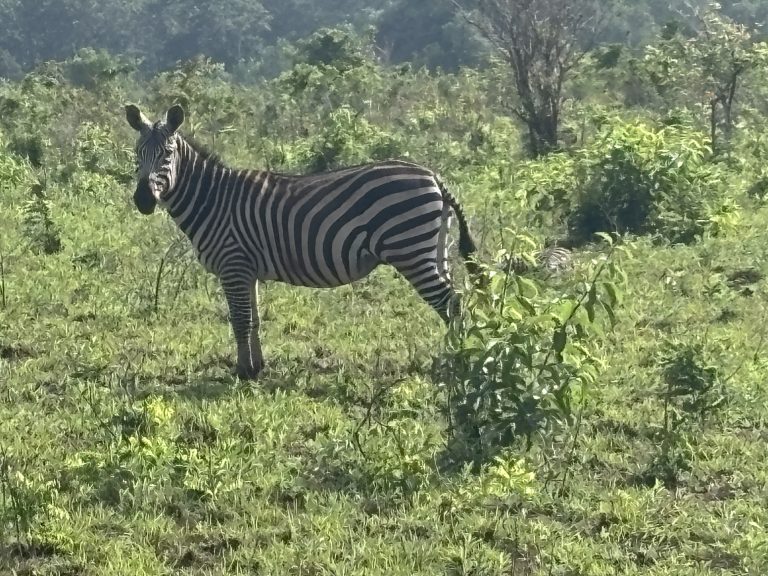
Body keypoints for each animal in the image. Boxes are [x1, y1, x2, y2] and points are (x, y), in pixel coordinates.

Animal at [125, 104, 479, 379]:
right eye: (136, 154)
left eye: (167, 154)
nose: (143, 201)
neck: (213, 200)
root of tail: (434, 176)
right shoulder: (247, 270)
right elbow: (254, 320)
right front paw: (257, 367)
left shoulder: (233, 265)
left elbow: (240, 320)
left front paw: (242, 372)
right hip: (433, 249)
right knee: (456, 299)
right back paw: (453, 356)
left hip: (411, 249)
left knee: (450, 303)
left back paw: (459, 360)